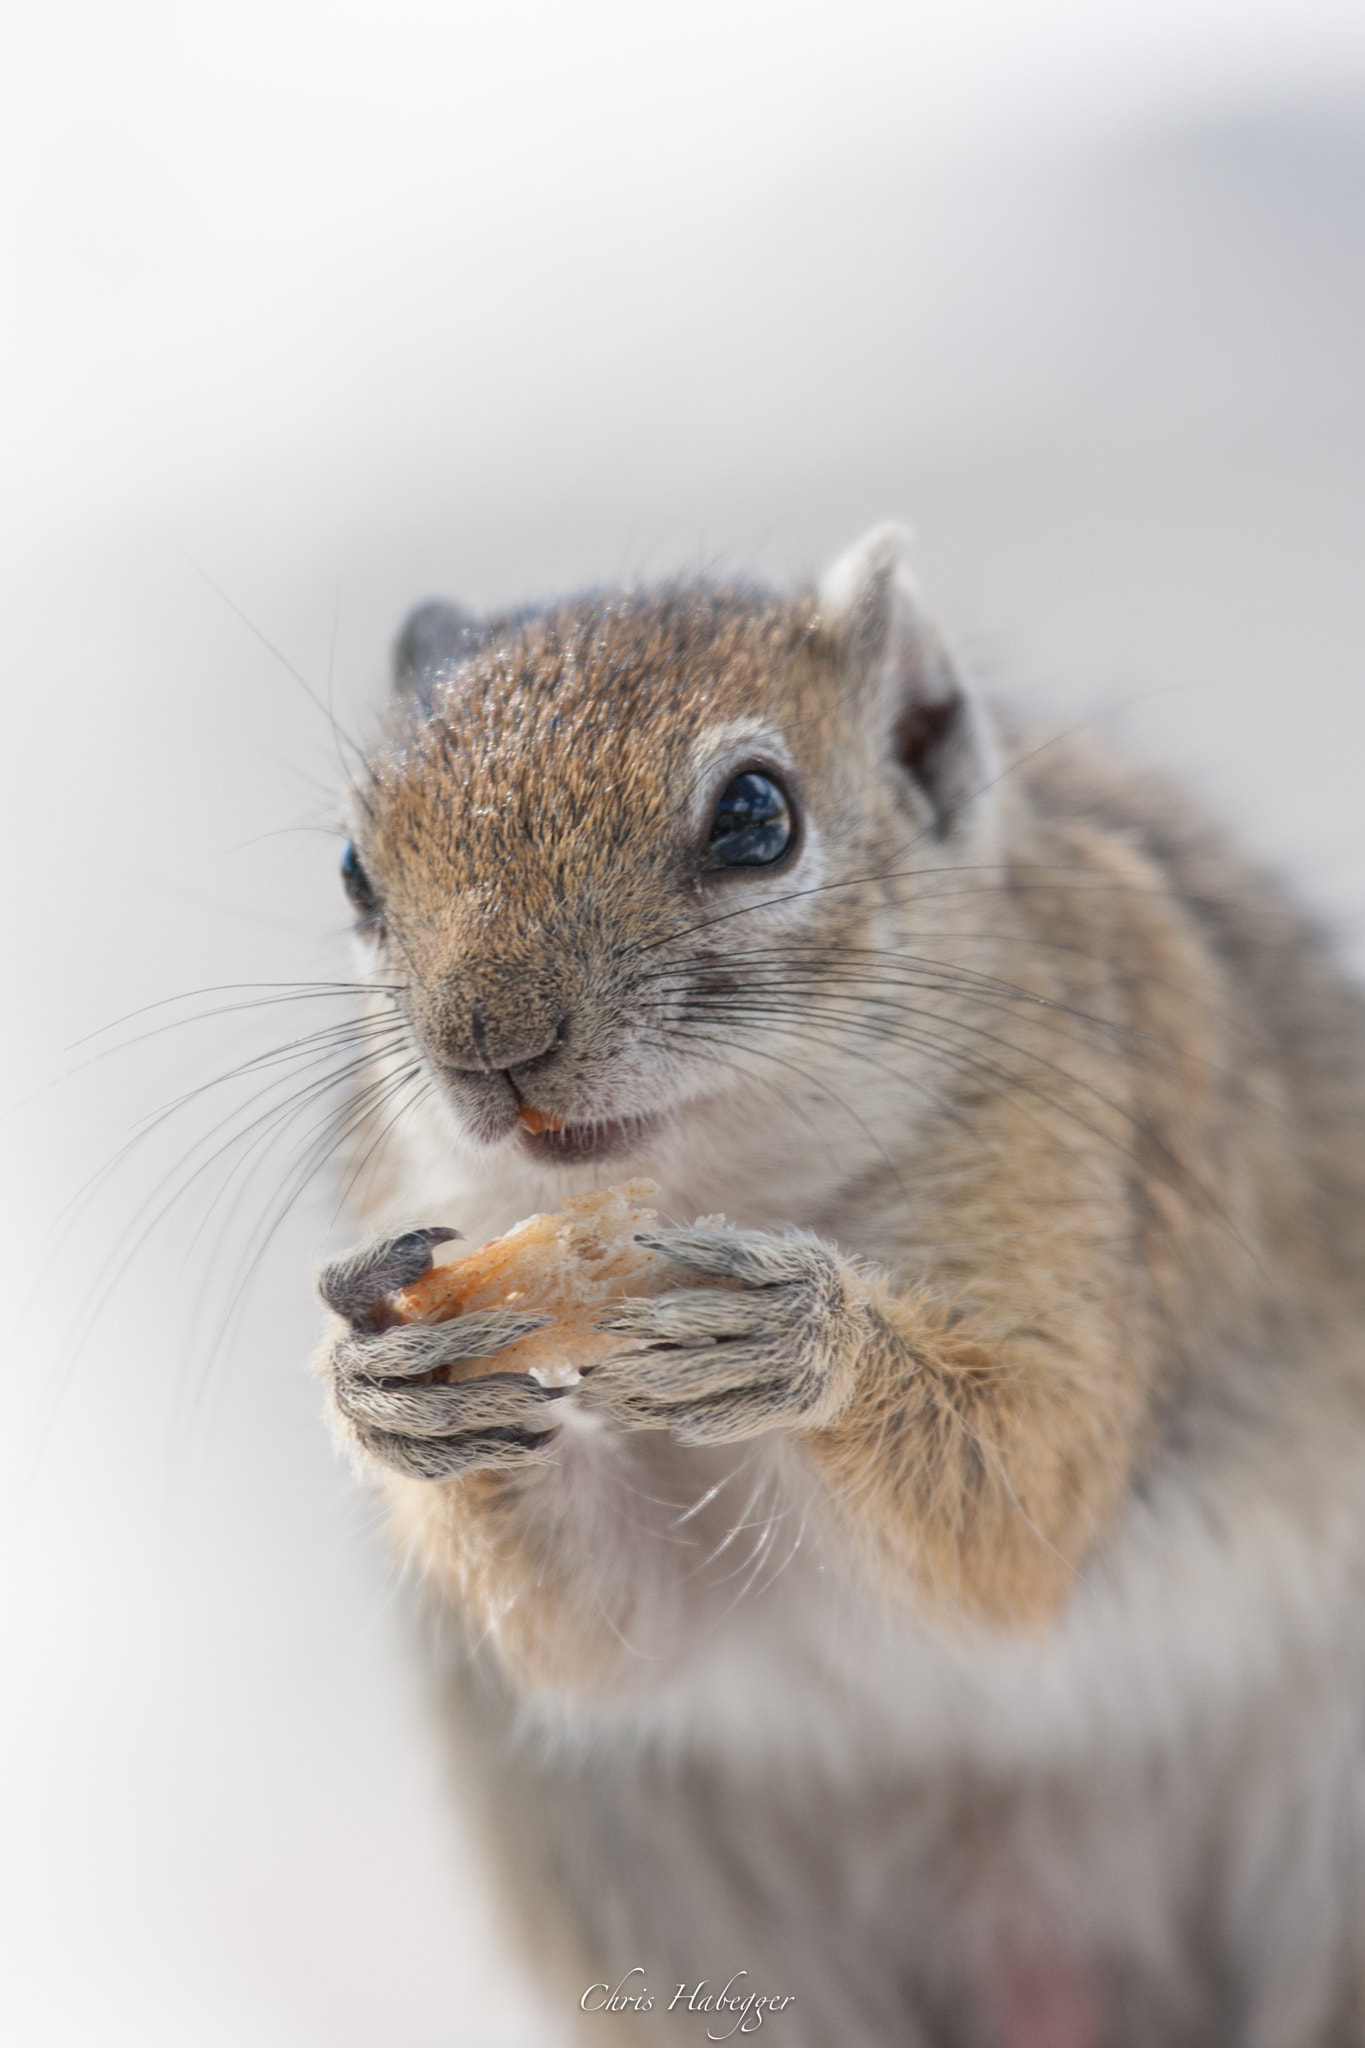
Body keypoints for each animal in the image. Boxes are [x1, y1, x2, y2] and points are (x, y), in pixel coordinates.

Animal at [315, 532, 1365, 2048]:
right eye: (354, 865)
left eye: (758, 817)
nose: (489, 1045)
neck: (733, 1180)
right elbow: (609, 1631)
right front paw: (395, 1385)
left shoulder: (1098, 1179)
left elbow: (1022, 1502)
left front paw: (804, 1338)